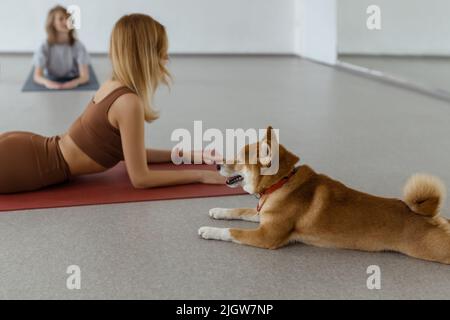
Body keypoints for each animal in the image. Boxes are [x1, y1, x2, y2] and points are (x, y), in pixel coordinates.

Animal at [199, 126, 450, 264]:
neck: (281, 183)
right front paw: (218, 210)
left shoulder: (266, 236)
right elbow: (240, 210)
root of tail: (430, 217)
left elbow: (232, 231)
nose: (217, 165)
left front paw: (210, 230)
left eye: (238, 159)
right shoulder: (264, 215)